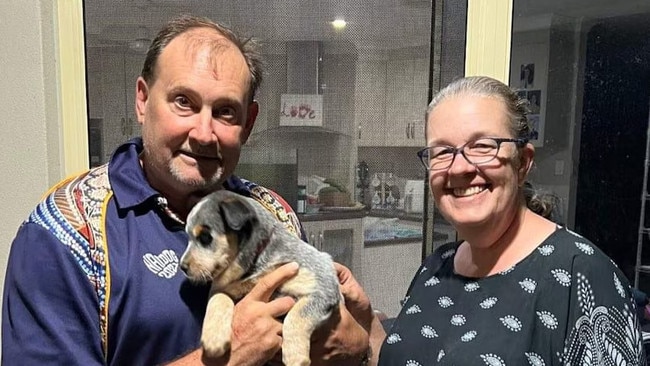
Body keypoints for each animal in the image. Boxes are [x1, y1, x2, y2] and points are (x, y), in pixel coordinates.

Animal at [177, 190, 340, 364]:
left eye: (205, 237)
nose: (183, 267)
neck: (255, 264)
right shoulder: (223, 289)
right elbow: (218, 299)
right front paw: (214, 339)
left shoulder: (323, 287)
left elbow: (296, 316)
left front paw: (295, 357)